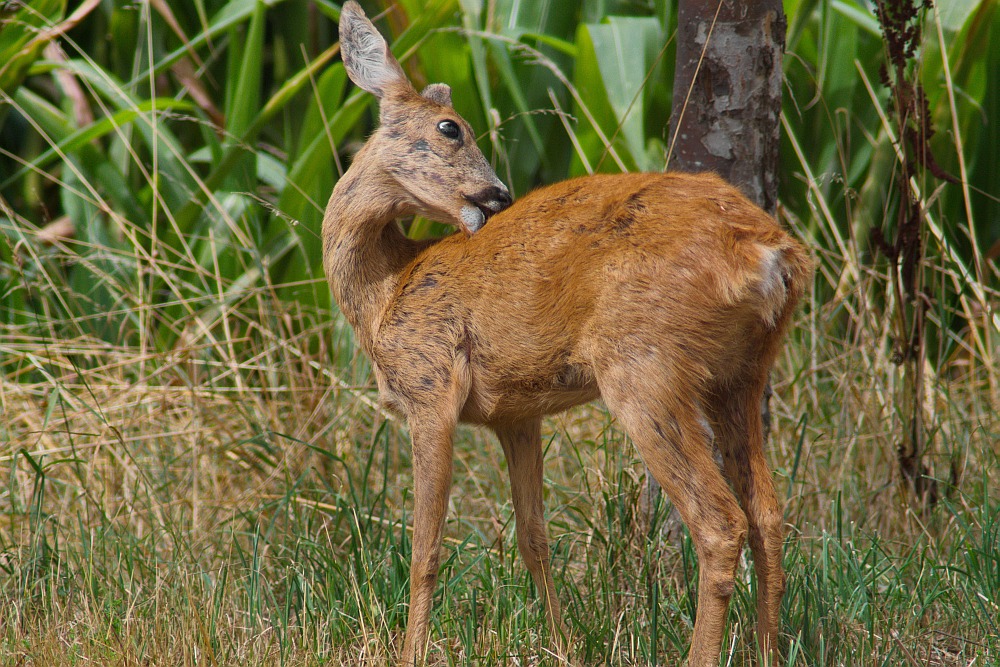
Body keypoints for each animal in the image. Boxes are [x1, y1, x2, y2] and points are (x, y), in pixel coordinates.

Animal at [328, 2, 812, 664]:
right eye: (451, 128)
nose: (497, 195)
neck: (387, 292)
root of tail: (770, 253)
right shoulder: (516, 413)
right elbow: (533, 536)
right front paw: (562, 643)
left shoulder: (430, 388)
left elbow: (425, 548)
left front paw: (412, 653)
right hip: (743, 370)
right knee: (767, 512)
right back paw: (769, 648)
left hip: (643, 364)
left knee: (719, 522)